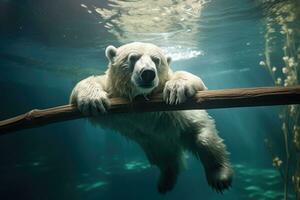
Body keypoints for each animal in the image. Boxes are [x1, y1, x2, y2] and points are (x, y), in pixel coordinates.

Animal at [69, 42, 233, 194]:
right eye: (133, 57)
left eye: (156, 60)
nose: (147, 73)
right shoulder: (114, 92)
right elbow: (89, 83)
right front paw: (92, 100)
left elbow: (192, 79)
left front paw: (175, 88)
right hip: (155, 143)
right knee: (163, 159)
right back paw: (165, 181)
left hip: (188, 128)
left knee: (207, 141)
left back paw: (220, 176)